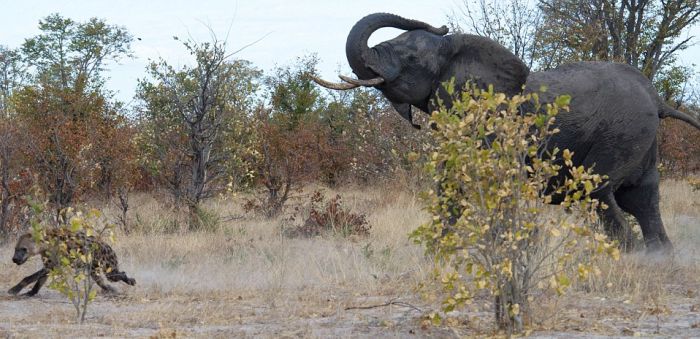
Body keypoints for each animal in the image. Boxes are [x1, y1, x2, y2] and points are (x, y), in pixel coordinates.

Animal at [314, 12, 700, 252]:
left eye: (409, 58)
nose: (441, 25)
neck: (454, 49)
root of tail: (656, 97)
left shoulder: (493, 123)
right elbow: (451, 183)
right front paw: (438, 255)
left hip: (622, 132)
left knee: (599, 192)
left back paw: (630, 257)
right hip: (641, 137)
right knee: (642, 199)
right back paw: (659, 258)